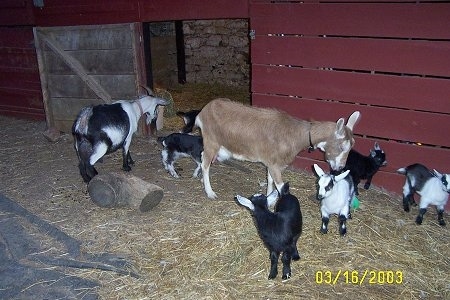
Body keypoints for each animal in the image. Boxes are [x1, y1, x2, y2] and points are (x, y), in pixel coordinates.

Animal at [195, 98, 360, 199]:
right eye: (342, 146)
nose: (340, 167)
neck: (296, 135)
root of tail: (203, 112)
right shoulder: (275, 165)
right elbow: (280, 186)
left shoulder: (271, 162)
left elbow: (269, 180)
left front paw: (268, 198)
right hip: (211, 141)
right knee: (205, 163)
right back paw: (210, 192)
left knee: (203, 157)